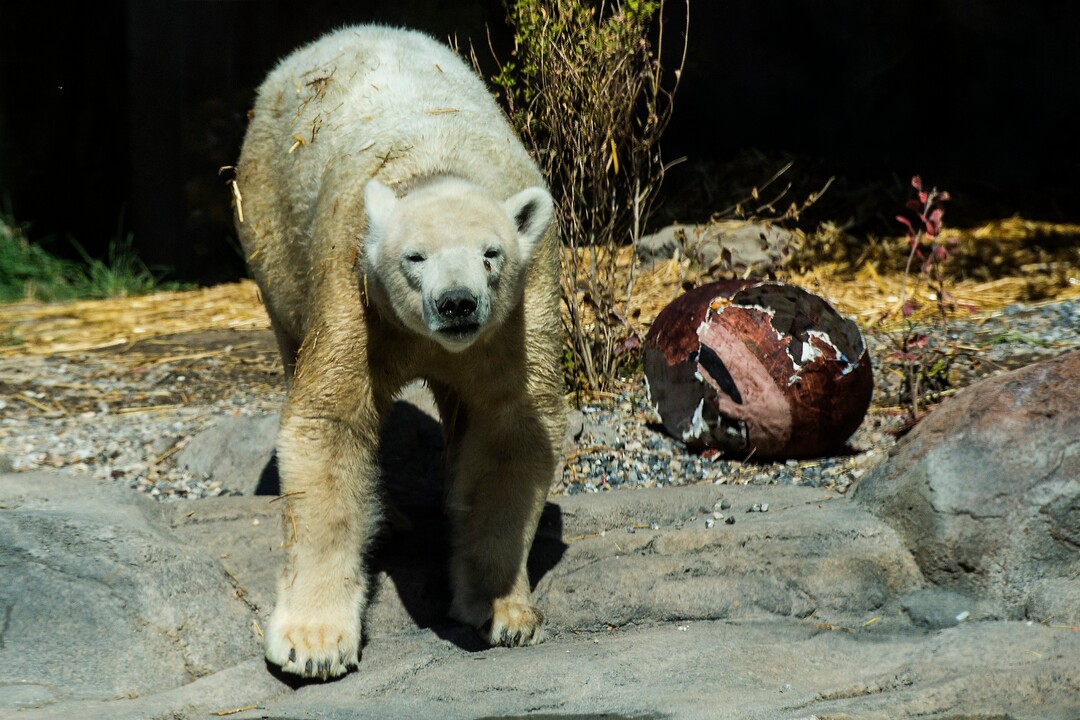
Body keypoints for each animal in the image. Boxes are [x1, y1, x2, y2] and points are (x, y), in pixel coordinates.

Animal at [232, 25, 566, 680]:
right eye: (415, 256)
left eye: (491, 253)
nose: (458, 304)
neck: (437, 165)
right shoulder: (354, 292)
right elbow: (331, 424)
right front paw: (313, 645)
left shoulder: (518, 314)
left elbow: (511, 433)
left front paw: (502, 612)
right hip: (269, 226)